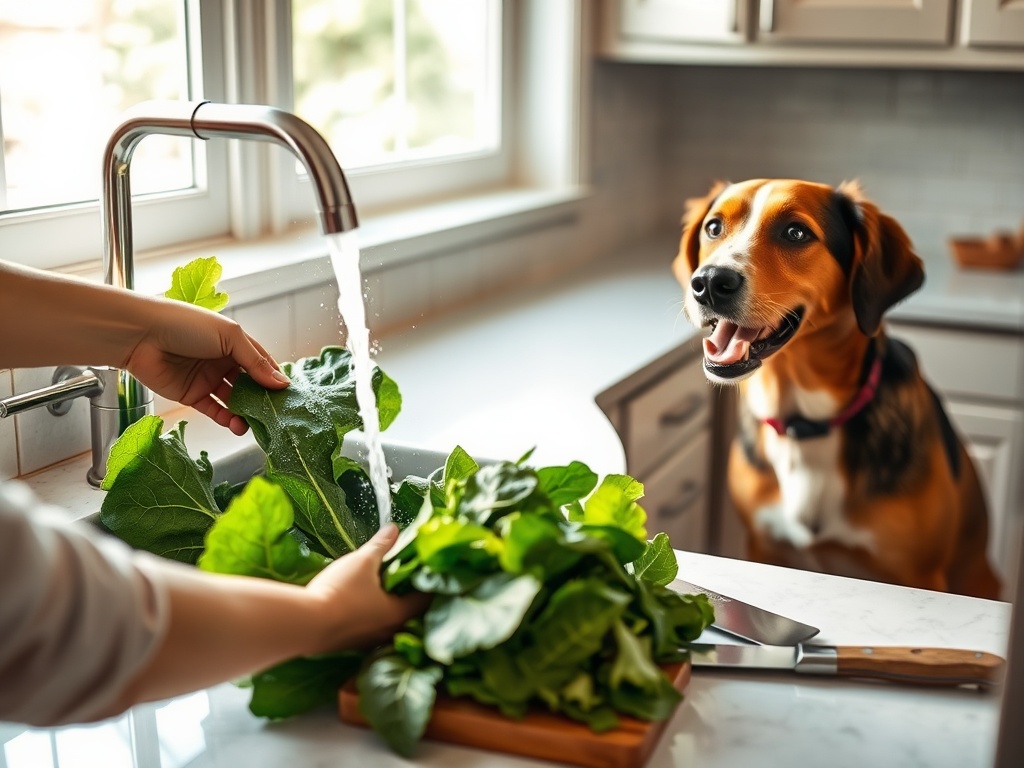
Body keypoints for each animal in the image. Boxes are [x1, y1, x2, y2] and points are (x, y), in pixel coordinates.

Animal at [671, 180, 999, 602]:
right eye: (713, 227)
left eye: (796, 233)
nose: (709, 282)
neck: (805, 422)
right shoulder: (763, 545)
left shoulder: (920, 576)